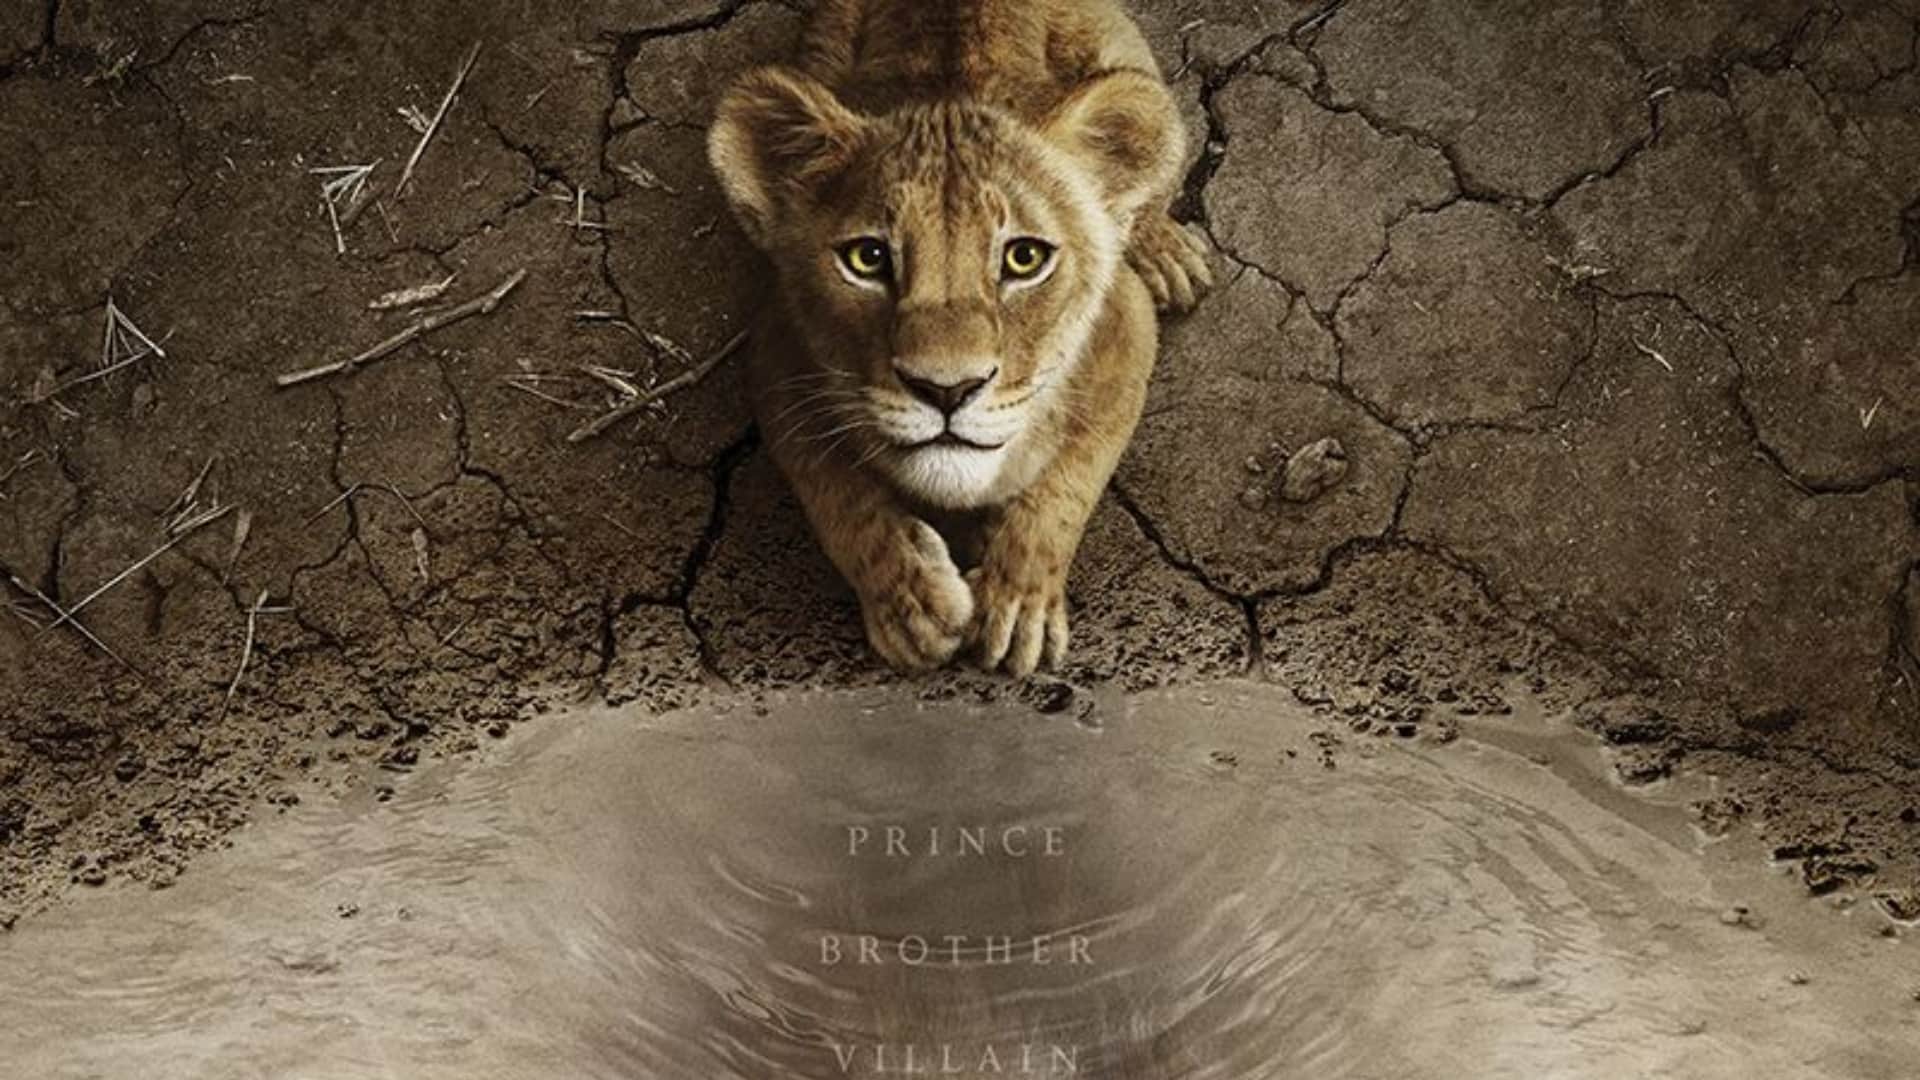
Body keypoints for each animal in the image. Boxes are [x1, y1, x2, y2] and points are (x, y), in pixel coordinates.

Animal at [708, 0, 1211, 675]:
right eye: (868, 258)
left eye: (1025, 258)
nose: (947, 391)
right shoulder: (775, 350)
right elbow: (834, 491)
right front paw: (910, 603)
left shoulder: (1125, 328)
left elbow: (1069, 481)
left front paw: (1018, 603)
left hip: (1125, 58)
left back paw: (1166, 253)